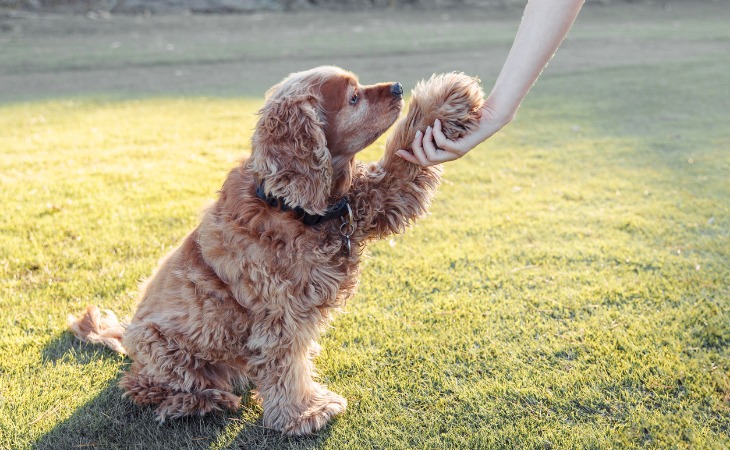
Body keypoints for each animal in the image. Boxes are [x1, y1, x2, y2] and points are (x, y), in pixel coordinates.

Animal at [67, 65, 478, 434]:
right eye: (353, 98)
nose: (397, 86)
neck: (292, 207)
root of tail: (127, 336)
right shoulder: (280, 314)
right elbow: (286, 367)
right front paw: (306, 413)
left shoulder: (369, 202)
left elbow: (401, 165)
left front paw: (447, 101)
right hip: (164, 347)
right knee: (145, 386)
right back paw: (201, 400)